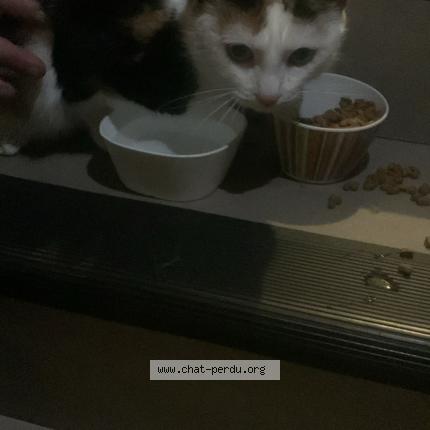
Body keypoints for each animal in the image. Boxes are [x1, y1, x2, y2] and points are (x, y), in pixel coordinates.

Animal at [0, 0, 347, 155]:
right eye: (239, 52)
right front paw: (105, 142)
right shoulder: (79, 62)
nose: (268, 97)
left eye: (301, 56)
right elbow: (92, 105)